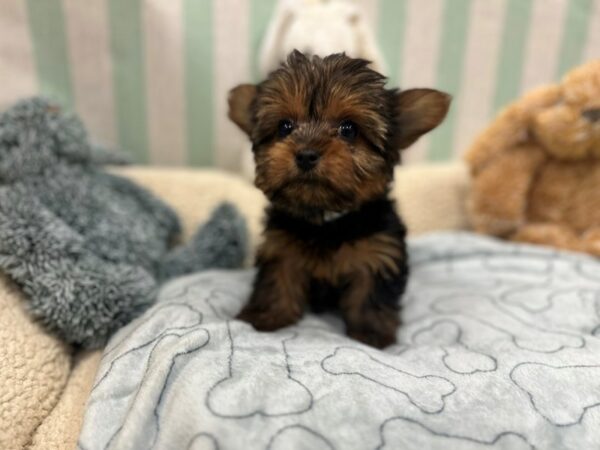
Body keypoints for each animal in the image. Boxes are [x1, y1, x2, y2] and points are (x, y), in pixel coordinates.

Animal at [230, 51, 450, 348]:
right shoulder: (281, 247)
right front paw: (267, 315)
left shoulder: (378, 253)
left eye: (349, 129)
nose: (306, 154)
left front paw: (371, 332)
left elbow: (369, 294)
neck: (327, 220)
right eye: (285, 127)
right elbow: (277, 279)